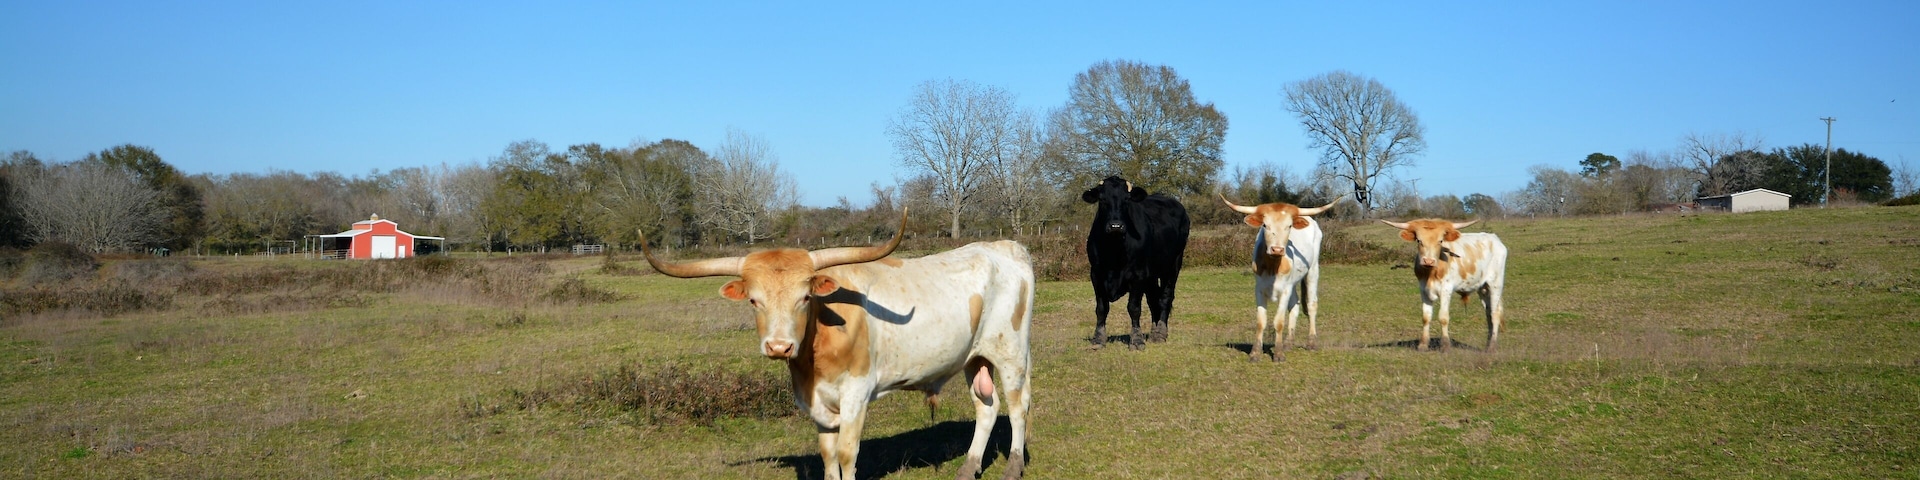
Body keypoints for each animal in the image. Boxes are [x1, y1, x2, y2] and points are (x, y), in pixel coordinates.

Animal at [640, 211, 1034, 480]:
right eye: (753, 300)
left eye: (804, 297)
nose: (779, 346)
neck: (812, 362)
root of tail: (1005, 247)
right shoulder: (816, 403)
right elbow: (828, 457)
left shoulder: (856, 393)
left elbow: (847, 454)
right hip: (974, 357)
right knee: (986, 407)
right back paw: (968, 468)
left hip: (1011, 352)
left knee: (1017, 407)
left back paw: (1012, 467)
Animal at [1081, 176, 1190, 350]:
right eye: (1102, 199)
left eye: (1126, 200)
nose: (1116, 226)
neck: (1114, 249)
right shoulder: (1096, 274)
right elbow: (1101, 308)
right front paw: (1098, 339)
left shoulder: (1138, 274)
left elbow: (1134, 308)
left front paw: (1137, 340)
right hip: (1151, 274)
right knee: (1153, 299)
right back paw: (1153, 331)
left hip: (1173, 265)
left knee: (1165, 298)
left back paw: (1160, 333)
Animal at [1220, 194, 1343, 362]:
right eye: (1265, 225)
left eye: (1289, 226)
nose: (1277, 249)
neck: (1273, 266)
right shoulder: (1259, 289)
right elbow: (1261, 321)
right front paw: (1255, 353)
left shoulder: (1285, 290)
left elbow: (1278, 321)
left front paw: (1278, 354)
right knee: (1295, 306)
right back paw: (1288, 343)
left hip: (1312, 270)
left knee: (1311, 304)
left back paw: (1311, 342)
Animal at [1379, 219, 1509, 353]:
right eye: (1419, 240)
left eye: (1440, 241)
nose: (1428, 261)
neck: (1431, 273)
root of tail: (1494, 238)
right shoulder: (1423, 290)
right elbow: (1426, 317)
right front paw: (1423, 345)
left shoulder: (1446, 290)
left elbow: (1443, 317)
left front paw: (1445, 345)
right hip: (1483, 288)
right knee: (1488, 313)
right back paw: (1488, 345)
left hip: (1496, 284)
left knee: (1495, 314)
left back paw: (1492, 347)